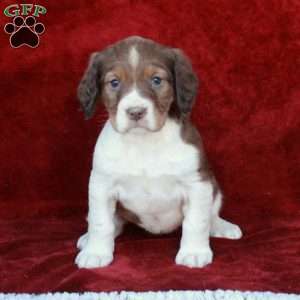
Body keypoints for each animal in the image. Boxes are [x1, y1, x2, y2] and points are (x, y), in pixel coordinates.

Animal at [75, 35, 241, 270]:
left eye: (156, 80)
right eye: (114, 83)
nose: (136, 112)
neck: (144, 141)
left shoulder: (197, 183)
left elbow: (196, 221)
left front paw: (194, 252)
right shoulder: (101, 184)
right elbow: (100, 222)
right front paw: (95, 252)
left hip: (214, 187)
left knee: (211, 214)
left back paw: (222, 226)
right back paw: (88, 238)